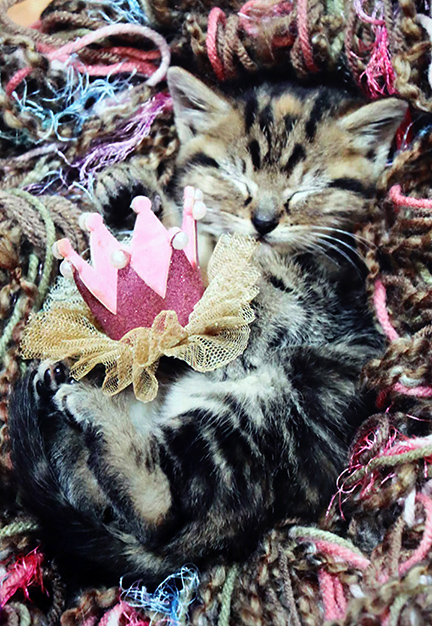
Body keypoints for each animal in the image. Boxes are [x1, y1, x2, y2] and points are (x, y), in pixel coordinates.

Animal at [7, 69, 408, 584]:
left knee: (160, 505)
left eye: (304, 191)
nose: (263, 220)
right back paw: (61, 398)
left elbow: (245, 295)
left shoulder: (317, 303)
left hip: (265, 413)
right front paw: (129, 196)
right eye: (235, 178)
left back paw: (90, 410)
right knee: (98, 494)